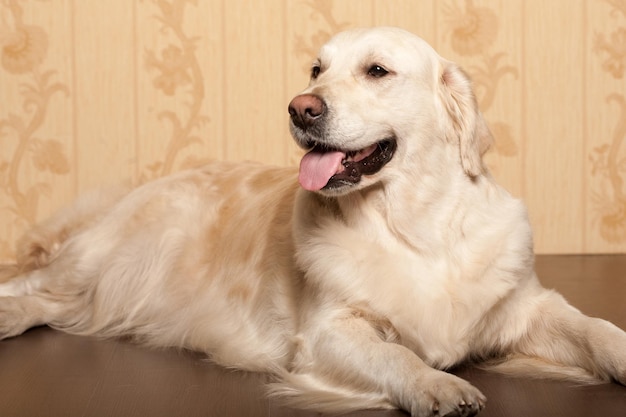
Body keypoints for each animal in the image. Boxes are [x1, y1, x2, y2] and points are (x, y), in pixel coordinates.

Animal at [1, 27, 624, 414]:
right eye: (316, 68)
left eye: (378, 70)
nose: (301, 107)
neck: (416, 229)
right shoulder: (326, 333)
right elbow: (395, 353)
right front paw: (436, 385)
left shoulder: (523, 308)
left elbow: (595, 328)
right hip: (101, 258)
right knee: (32, 284)